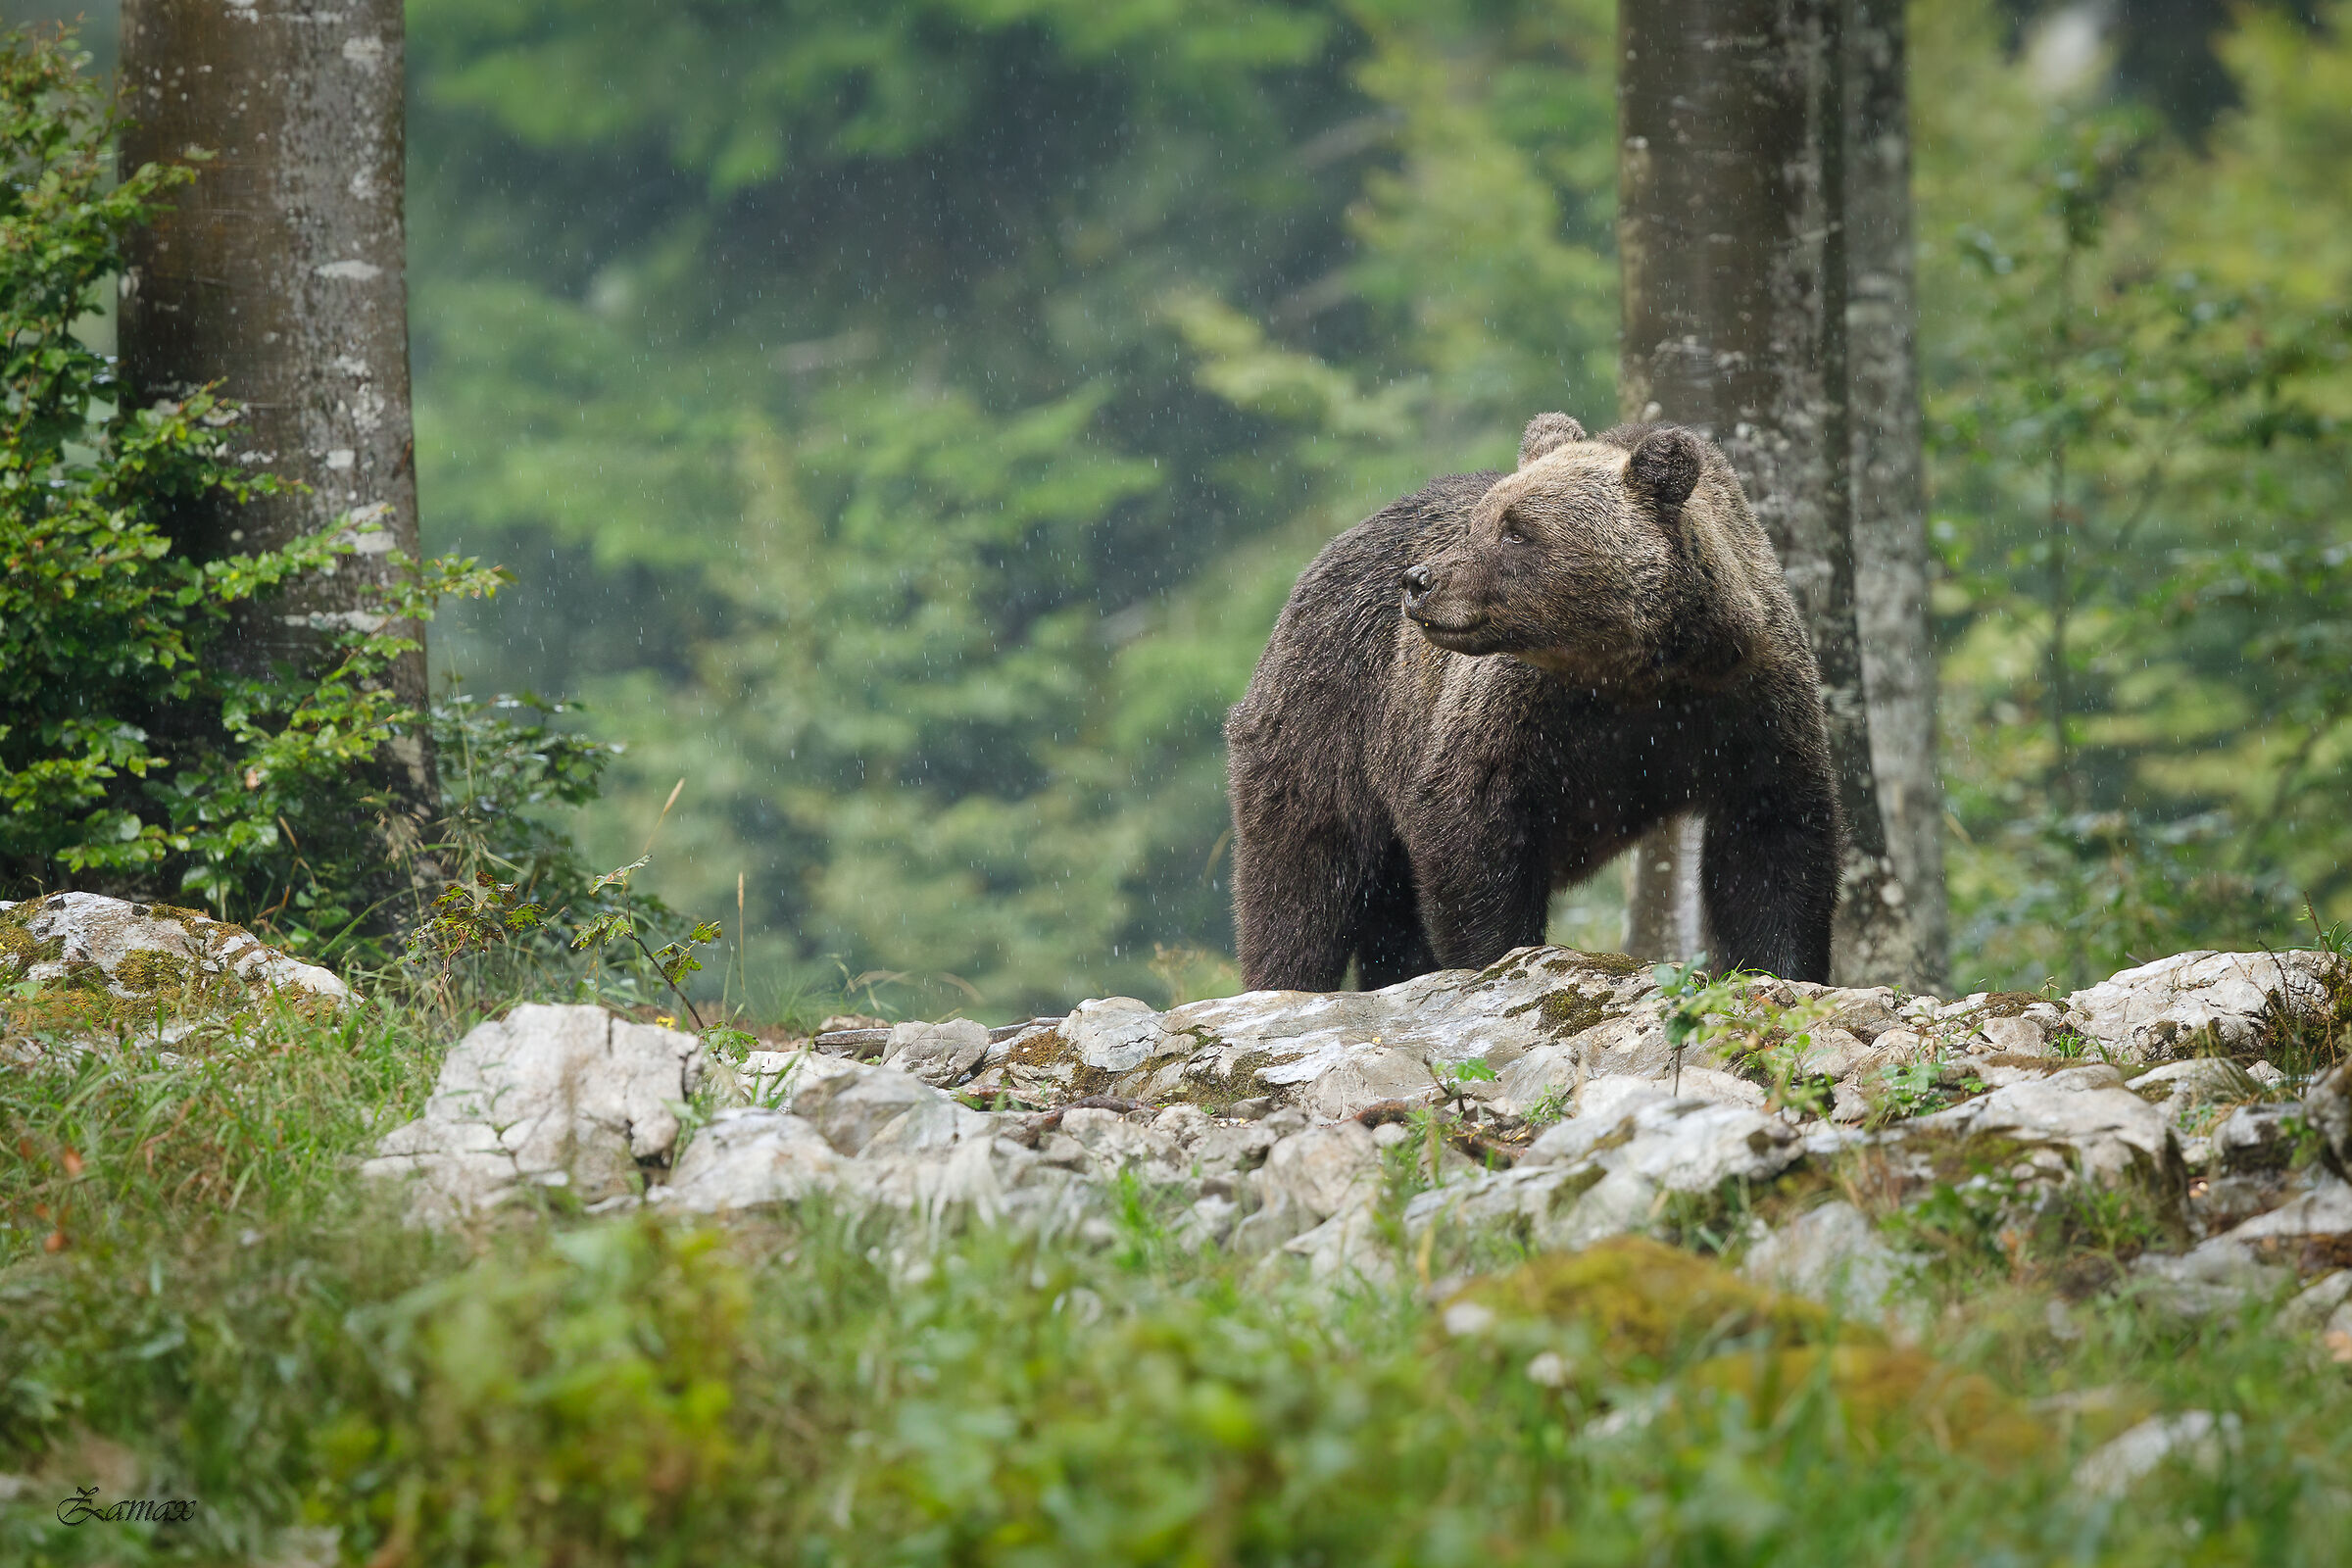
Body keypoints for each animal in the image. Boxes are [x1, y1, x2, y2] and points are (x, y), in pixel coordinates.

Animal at [1223, 413, 1840, 990]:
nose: (1420, 581)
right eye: (1480, 521)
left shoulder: (1746, 704)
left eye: (1517, 531)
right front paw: (1495, 958)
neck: (1634, 673)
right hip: (1328, 719)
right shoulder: (1510, 718)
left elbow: (1772, 847)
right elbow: (1472, 837)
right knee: (1302, 882)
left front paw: (1781, 969)